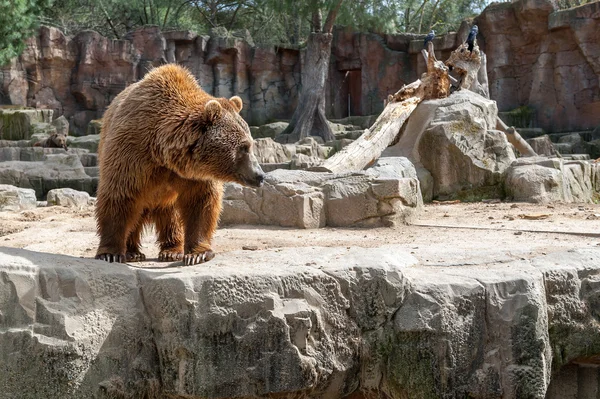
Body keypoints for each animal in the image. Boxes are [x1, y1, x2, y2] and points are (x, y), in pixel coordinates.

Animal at [94, 64, 262, 266]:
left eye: (251, 144)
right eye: (244, 147)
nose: (260, 175)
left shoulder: (195, 174)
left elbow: (201, 203)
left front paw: (197, 253)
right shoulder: (132, 154)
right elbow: (119, 196)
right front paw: (110, 253)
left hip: (166, 200)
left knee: (171, 217)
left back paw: (171, 251)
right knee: (136, 214)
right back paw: (133, 252)